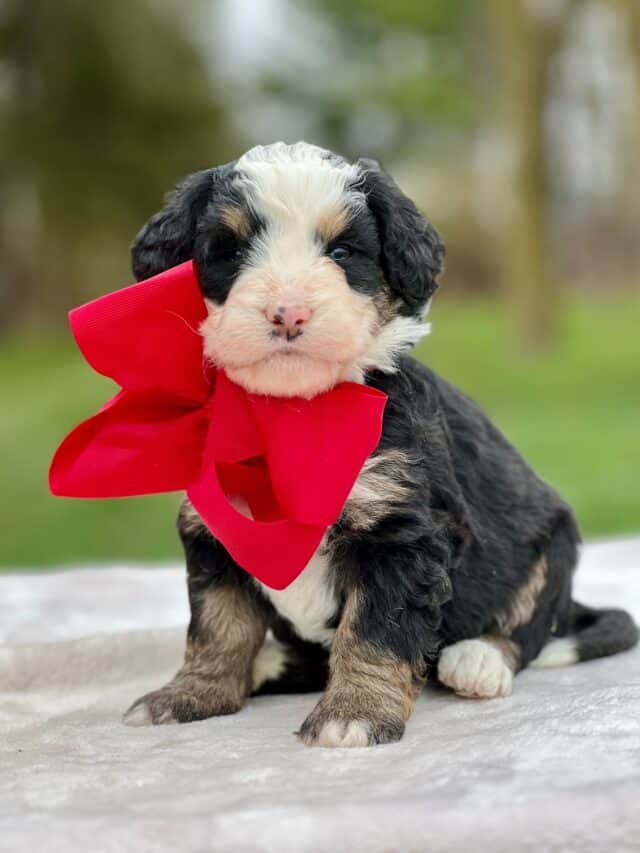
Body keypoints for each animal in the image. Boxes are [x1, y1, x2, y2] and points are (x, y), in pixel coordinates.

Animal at [122, 141, 636, 744]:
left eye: (343, 252)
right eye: (230, 250)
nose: (288, 313)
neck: (294, 414)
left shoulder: (398, 533)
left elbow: (372, 630)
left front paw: (354, 713)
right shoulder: (217, 535)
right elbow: (217, 625)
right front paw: (189, 695)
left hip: (552, 547)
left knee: (527, 627)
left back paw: (478, 660)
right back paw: (268, 664)